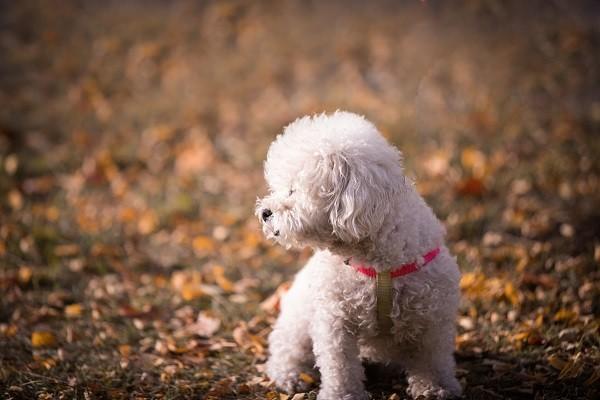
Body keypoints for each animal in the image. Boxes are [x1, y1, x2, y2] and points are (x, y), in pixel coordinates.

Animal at [255, 111, 462, 398]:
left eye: (293, 189)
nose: (265, 213)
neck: (379, 265)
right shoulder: (334, 320)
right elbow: (340, 366)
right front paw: (341, 394)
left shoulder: (433, 318)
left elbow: (432, 361)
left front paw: (435, 388)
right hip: (297, 324)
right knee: (286, 351)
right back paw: (289, 376)